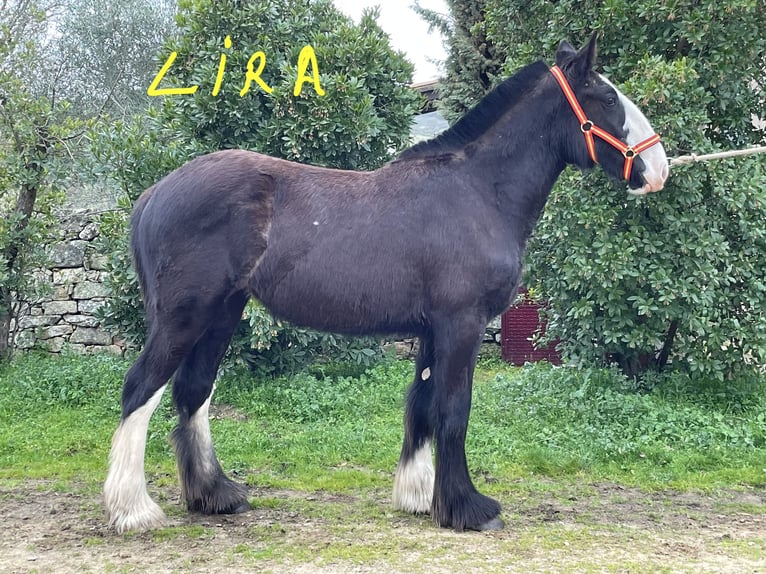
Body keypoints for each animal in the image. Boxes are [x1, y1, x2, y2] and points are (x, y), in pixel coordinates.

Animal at [104, 35, 668, 533]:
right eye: (608, 98)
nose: (658, 167)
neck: (477, 191)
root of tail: (155, 193)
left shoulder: (433, 329)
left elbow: (421, 405)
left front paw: (420, 497)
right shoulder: (461, 323)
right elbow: (453, 409)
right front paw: (469, 508)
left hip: (223, 312)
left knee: (192, 391)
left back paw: (215, 495)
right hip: (186, 316)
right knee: (140, 388)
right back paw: (133, 509)